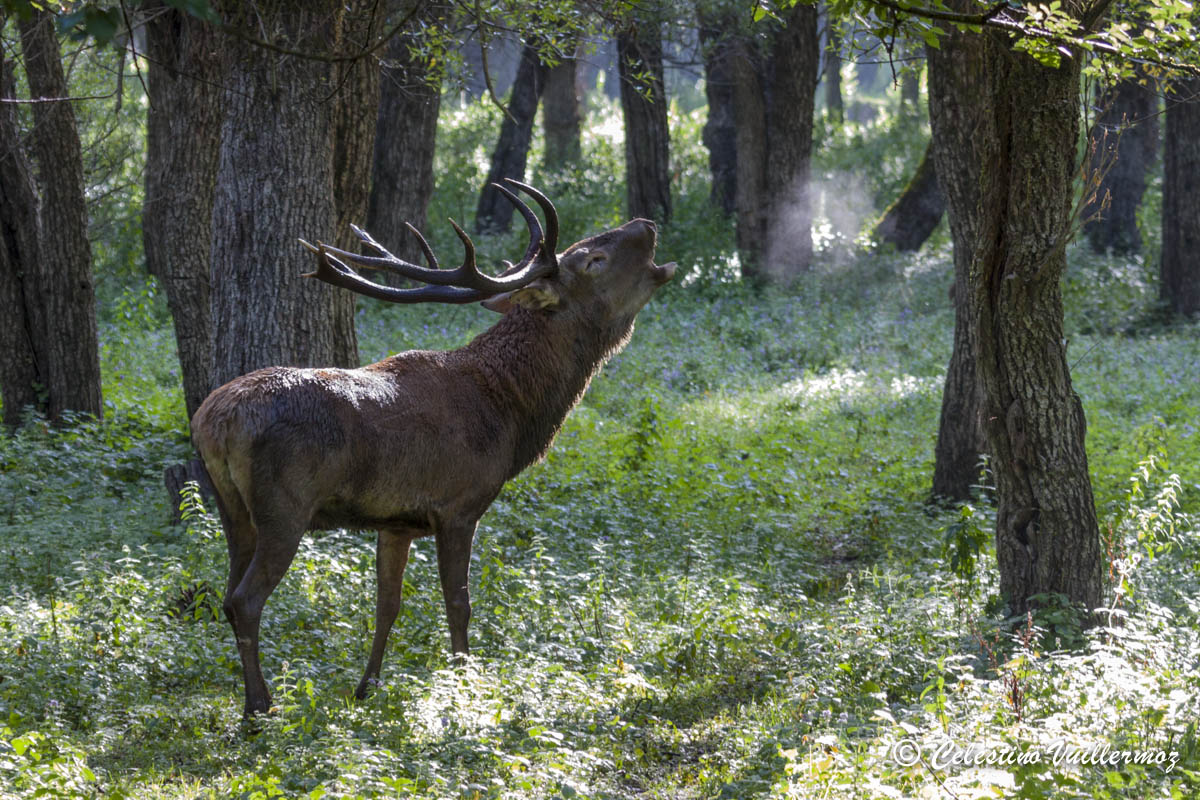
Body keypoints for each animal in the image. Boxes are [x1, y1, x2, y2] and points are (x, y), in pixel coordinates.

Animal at [192, 183, 672, 719]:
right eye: (594, 259)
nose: (646, 224)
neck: (511, 413)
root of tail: (214, 420)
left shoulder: (396, 521)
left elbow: (388, 604)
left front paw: (367, 688)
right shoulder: (459, 506)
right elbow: (458, 602)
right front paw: (465, 684)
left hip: (232, 510)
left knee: (227, 593)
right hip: (283, 508)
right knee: (245, 600)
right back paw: (260, 707)